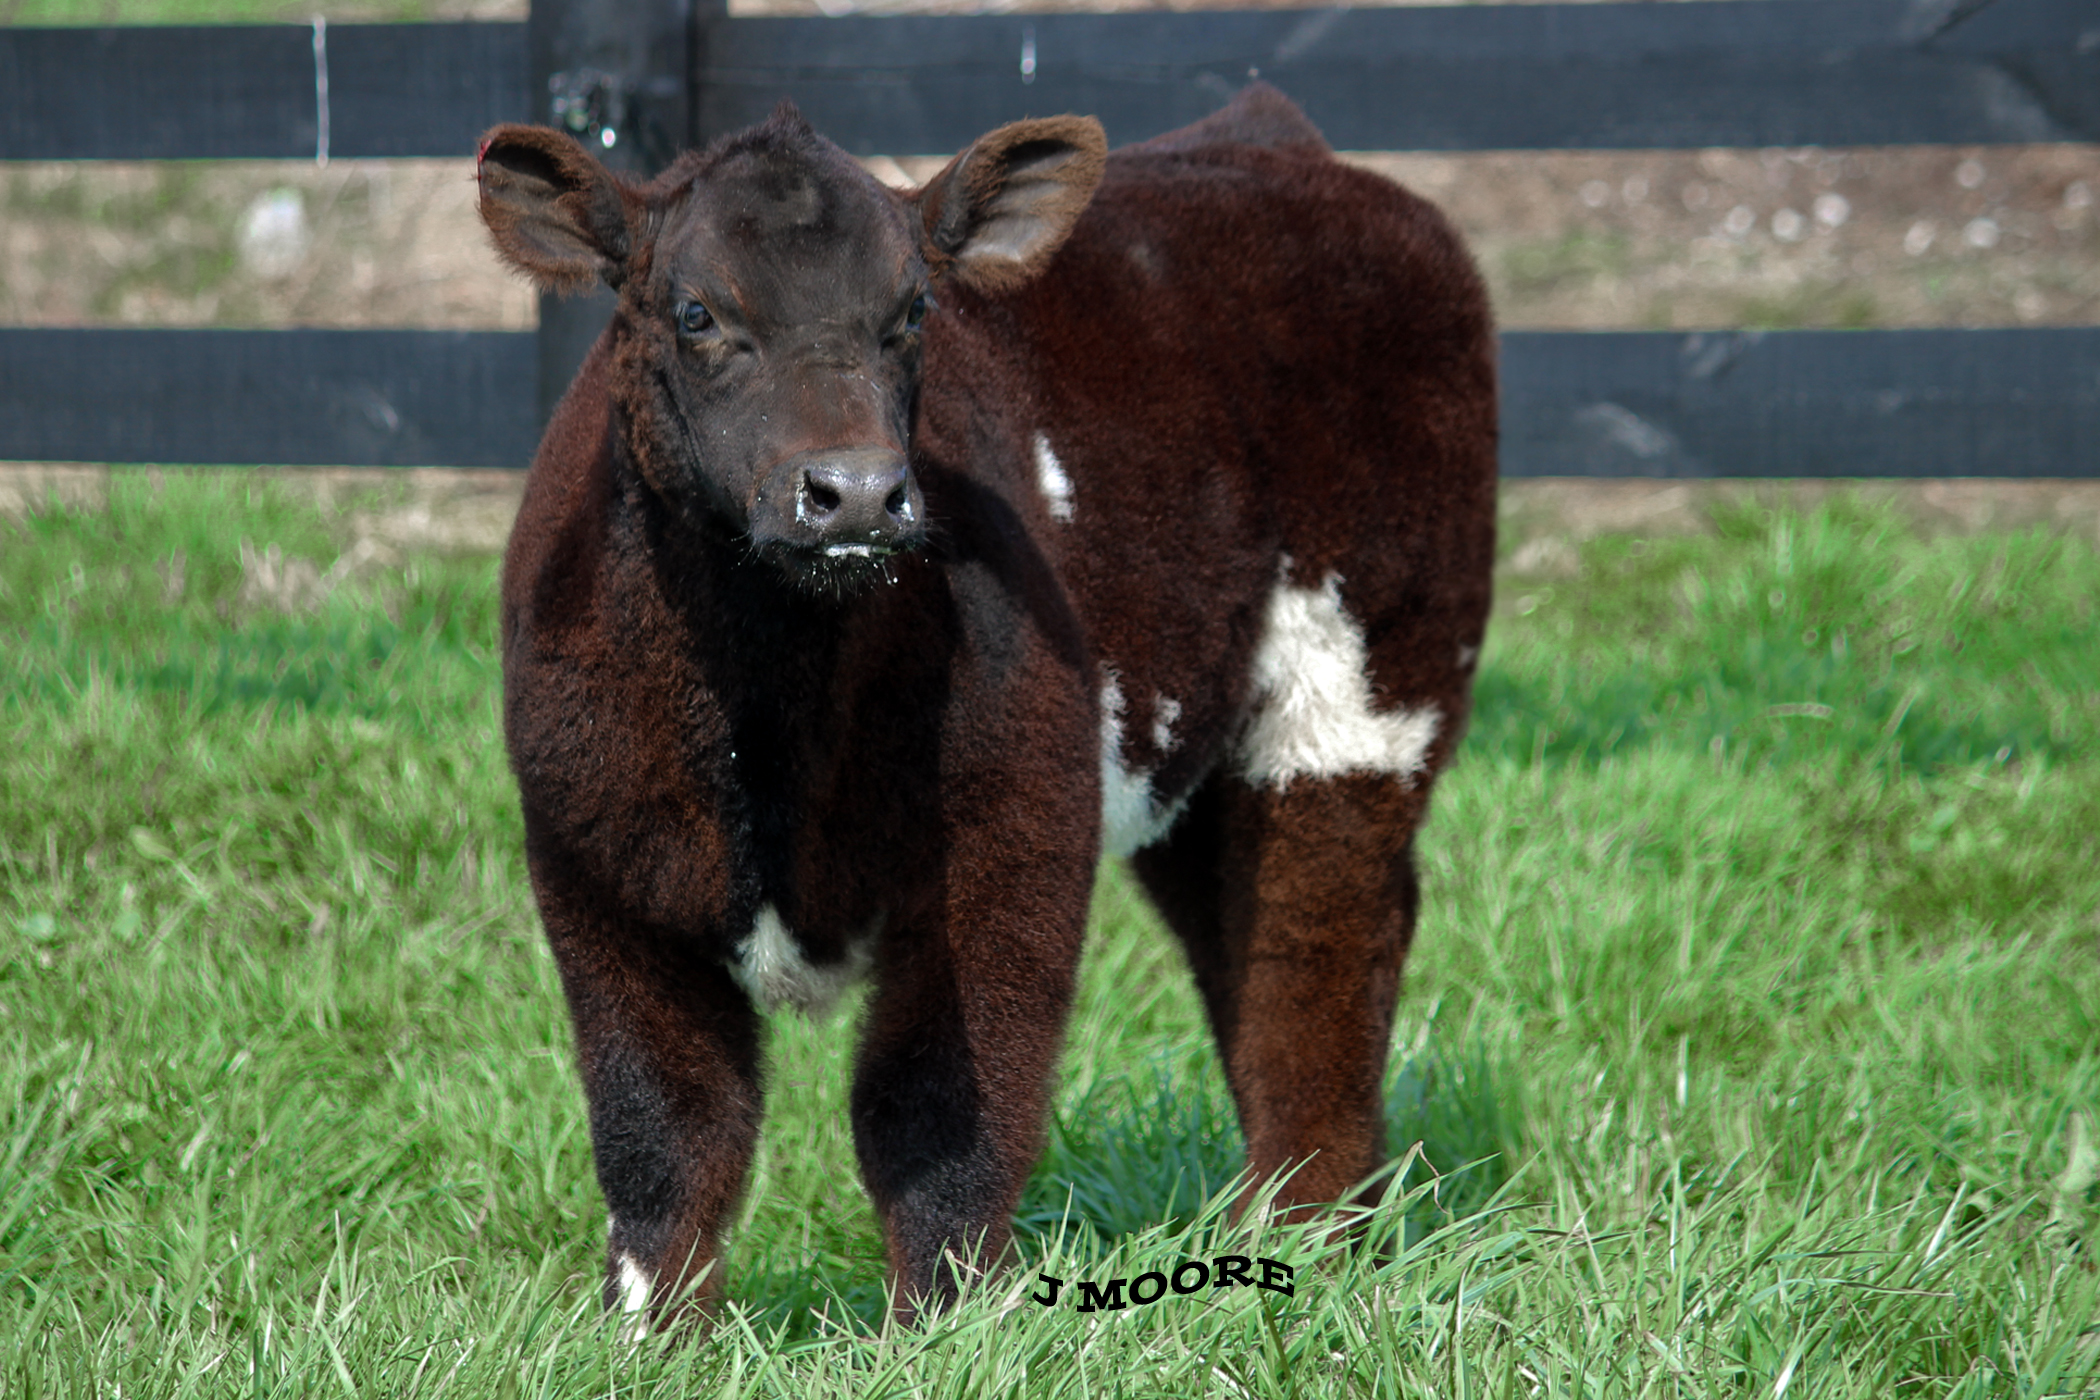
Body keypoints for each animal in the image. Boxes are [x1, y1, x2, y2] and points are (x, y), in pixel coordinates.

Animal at [475, 82, 1496, 1330]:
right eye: (697, 311)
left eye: (914, 309)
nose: (857, 491)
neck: (776, 719)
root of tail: (1275, 140)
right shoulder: (596, 864)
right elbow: (665, 1133)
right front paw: (655, 1334)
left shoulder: (1012, 831)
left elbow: (932, 1111)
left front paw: (946, 1326)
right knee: (1245, 932)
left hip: (1368, 684)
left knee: (1321, 938)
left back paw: (1304, 1238)